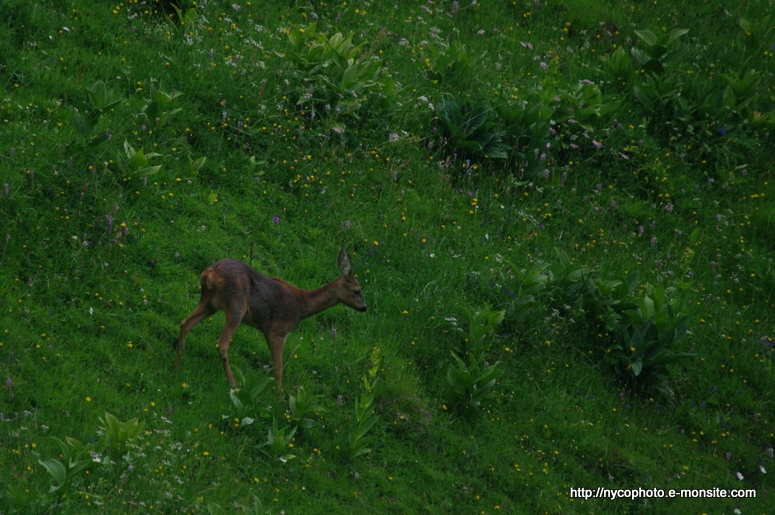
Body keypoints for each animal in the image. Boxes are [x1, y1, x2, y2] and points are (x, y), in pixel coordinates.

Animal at [174, 248, 368, 390]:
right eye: (357, 290)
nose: (364, 307)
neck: (302, 306)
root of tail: (209, 273)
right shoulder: (279, 330)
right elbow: (279, 367)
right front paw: (279, 396)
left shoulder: (267, 331)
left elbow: (273, 365)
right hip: (237, 304)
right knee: (221, 343)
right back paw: (233, 384)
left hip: (209, 301)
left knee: (185, 323)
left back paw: (178, 366)